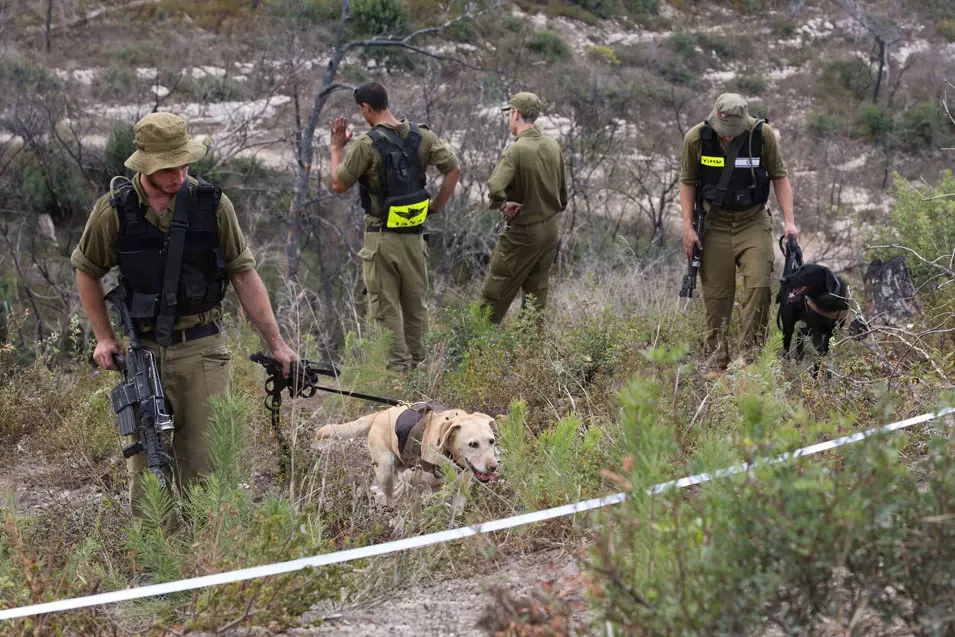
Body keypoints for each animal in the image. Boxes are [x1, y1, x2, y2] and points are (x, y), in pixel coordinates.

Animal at [320, 402, 504, 502]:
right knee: (389, 495)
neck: (447, 453)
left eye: (491, 441)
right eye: (473, 444)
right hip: (385, 469)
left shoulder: (461, 488)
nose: (493, 467)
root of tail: (381, 413)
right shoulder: (412, 479)